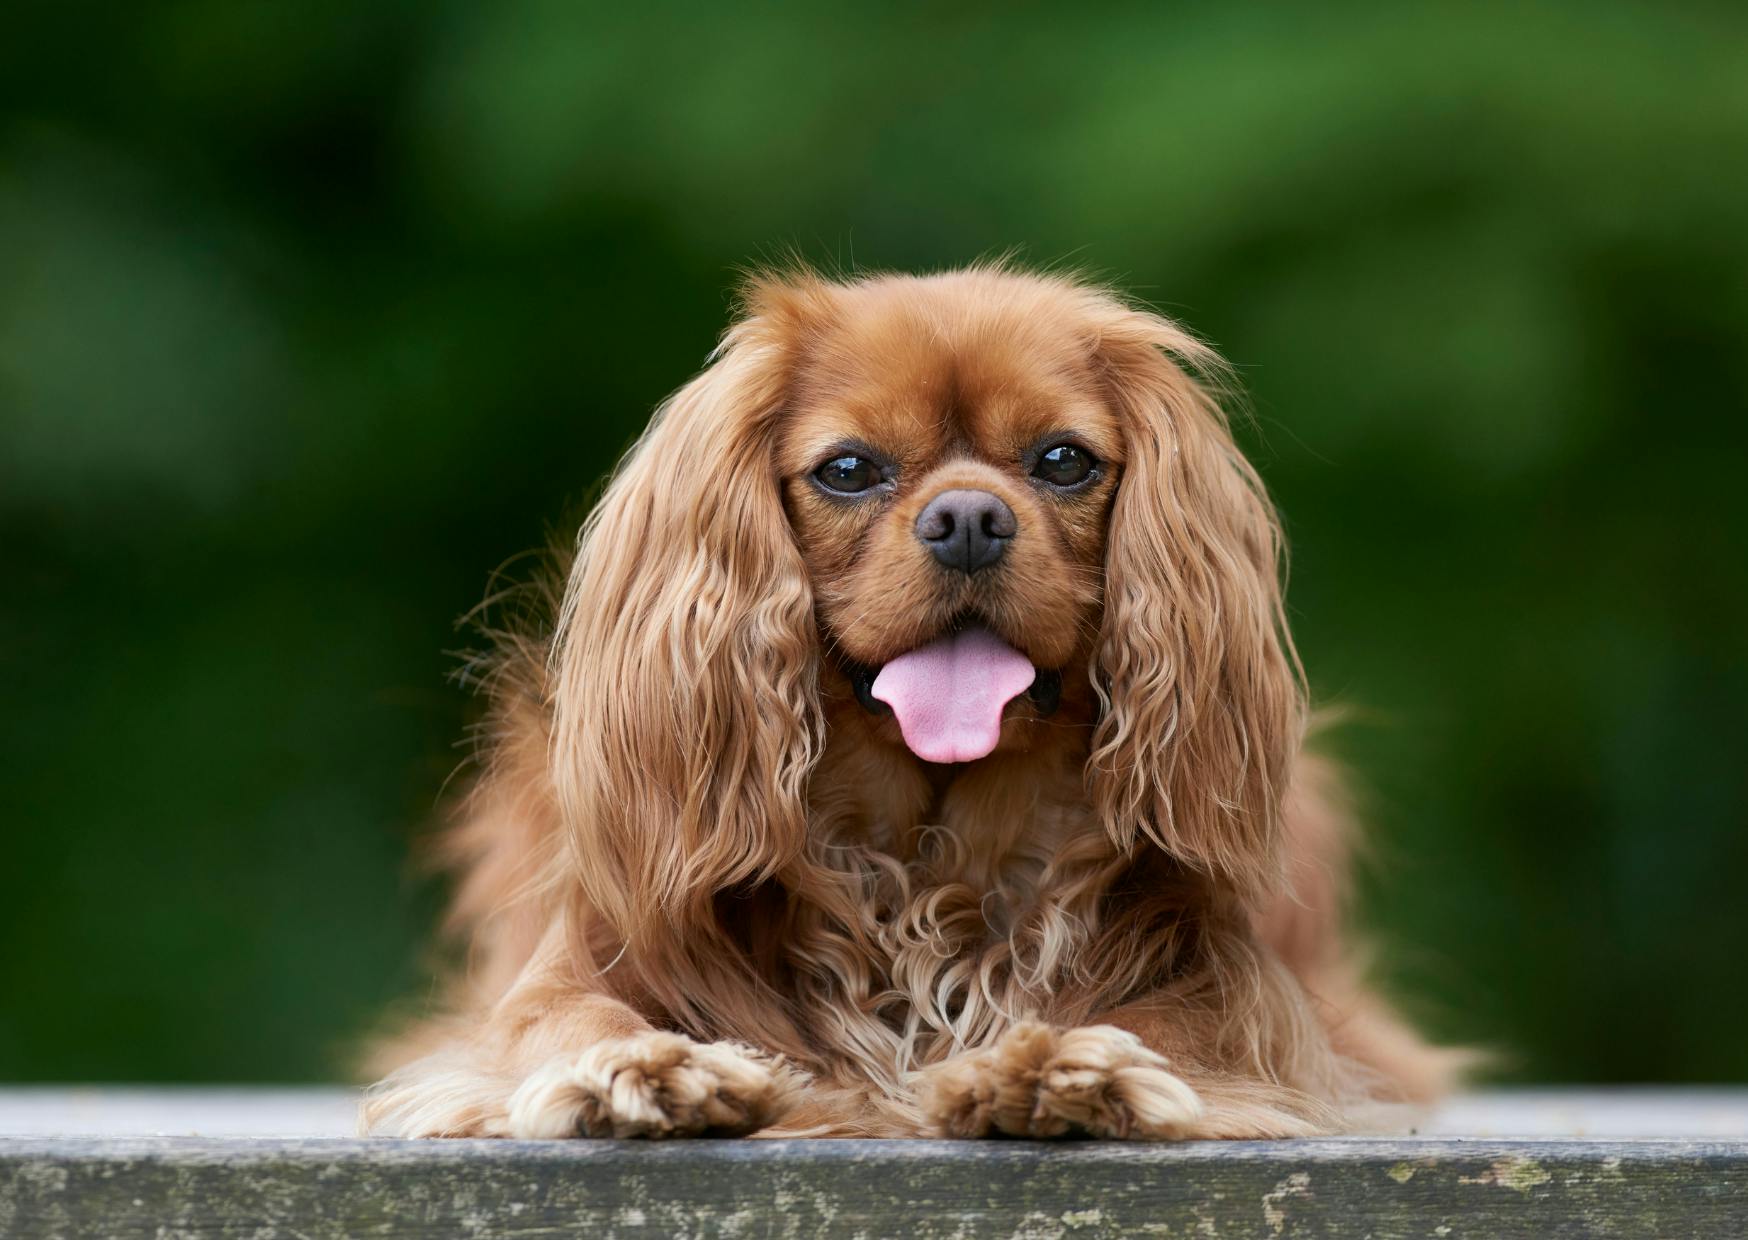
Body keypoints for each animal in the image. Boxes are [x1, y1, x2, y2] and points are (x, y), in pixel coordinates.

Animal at [361, 265, 1454, 1133]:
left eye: (1063, 460)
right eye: (848, 470)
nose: (967, 517)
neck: (926, 855)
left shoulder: (1250, 994)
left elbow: (1189, 1023)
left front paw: (1066, 1064)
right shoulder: (565, 972)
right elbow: (563, 1019)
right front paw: (638, 1068)